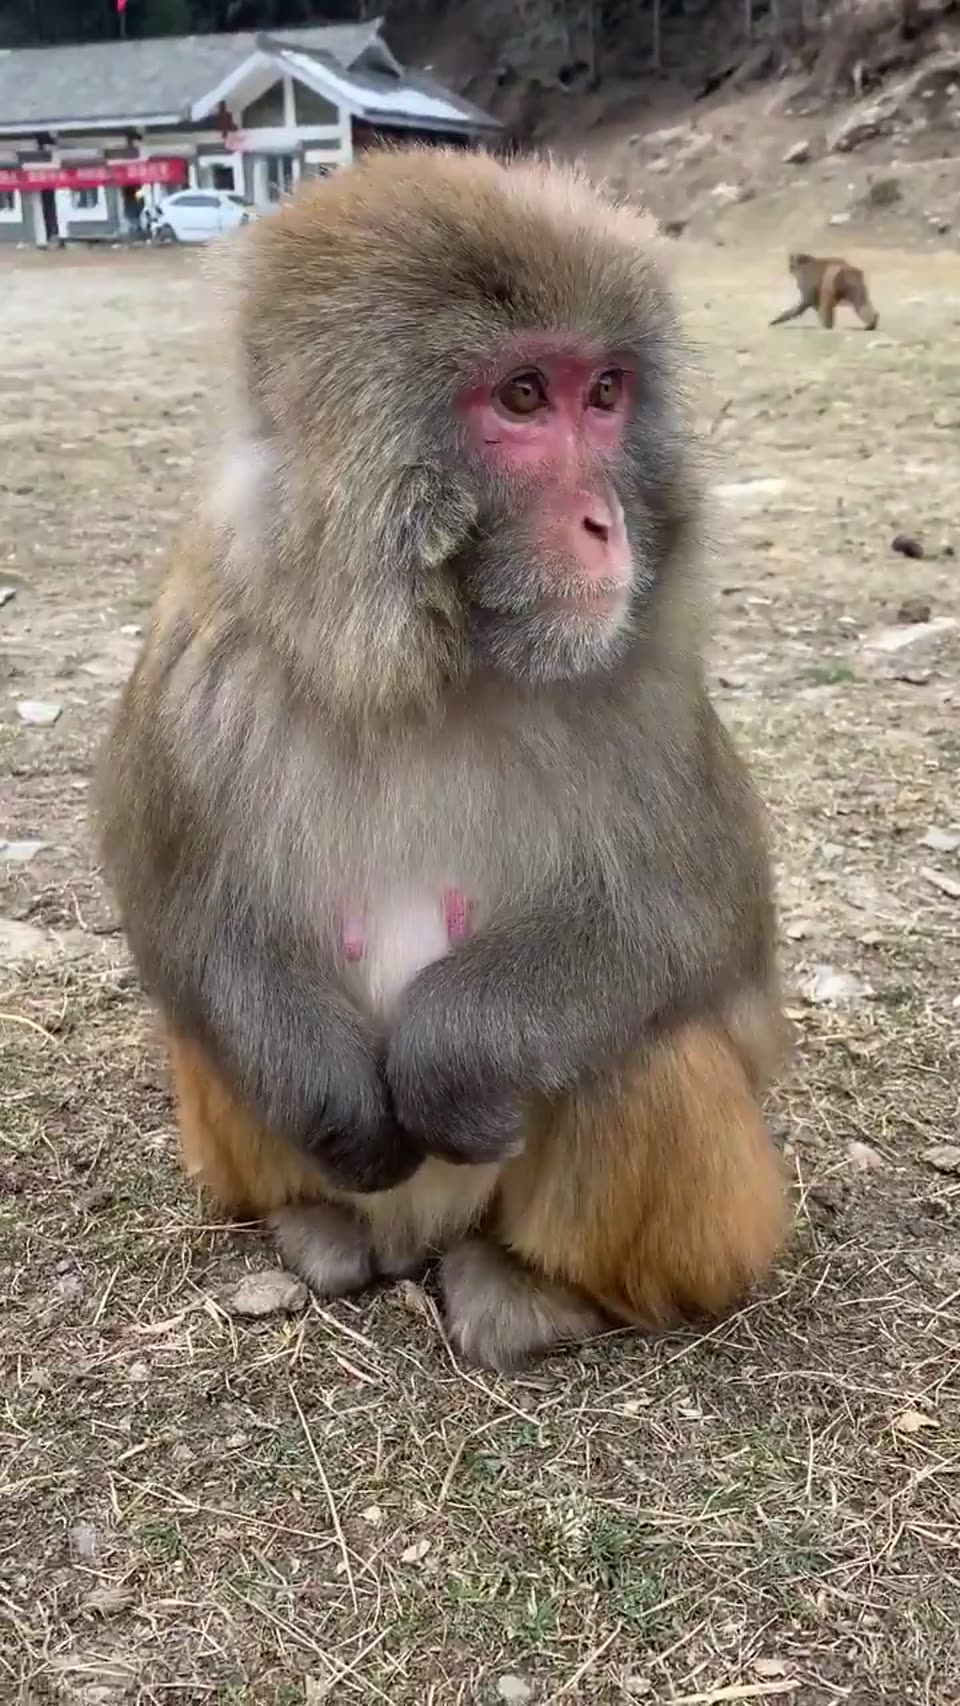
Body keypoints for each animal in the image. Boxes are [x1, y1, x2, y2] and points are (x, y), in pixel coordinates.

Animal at [95, 146, 792, 1372]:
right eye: (521, 398)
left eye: (604, 395)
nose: (606, 523)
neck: (432, 661)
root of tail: (414, 1235)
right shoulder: (199, 646)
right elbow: (173, 900)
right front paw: (337, 1102)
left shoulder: (648, 679)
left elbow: (696, 916)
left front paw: (448, 1064)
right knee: (207, 1020)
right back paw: (313, 1225)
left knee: (645, 1044)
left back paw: (540, 1289)